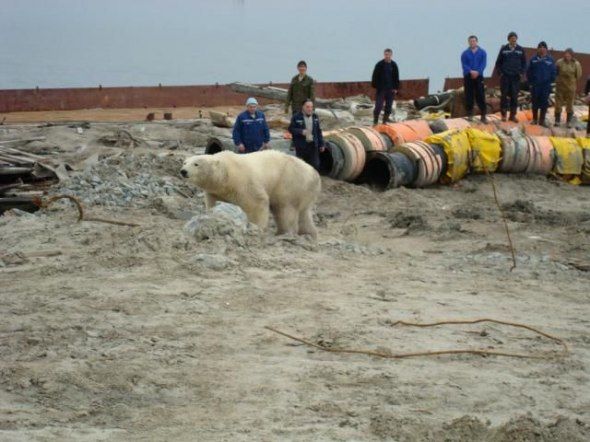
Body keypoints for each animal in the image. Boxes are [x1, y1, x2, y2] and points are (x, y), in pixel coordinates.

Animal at [180, 149, 322, 238]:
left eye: (196, 164)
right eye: (185, 162)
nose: (183, 171)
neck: (227, 173)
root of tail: (315, 174)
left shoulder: (244, 181)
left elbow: (256, 203)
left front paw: (256, 228)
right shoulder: (216, 191)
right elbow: (215, 204)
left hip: (289, 182)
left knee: (285, 210)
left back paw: (284, 233)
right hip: (303, 191)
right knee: (303, 213)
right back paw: (310, 234)